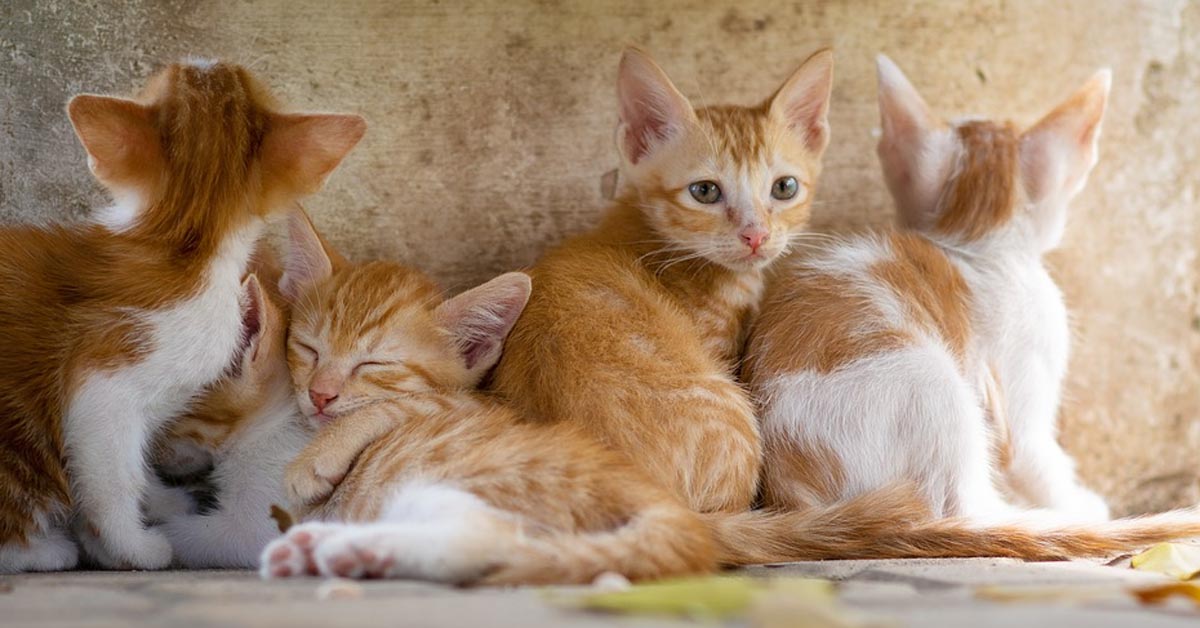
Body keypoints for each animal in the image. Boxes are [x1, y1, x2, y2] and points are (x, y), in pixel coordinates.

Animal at [1, 60, 364, 573]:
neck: (187, 244)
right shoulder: (105, 379)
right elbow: (113, 477)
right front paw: (135, 547)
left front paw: (159, 505)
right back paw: (43, 550)